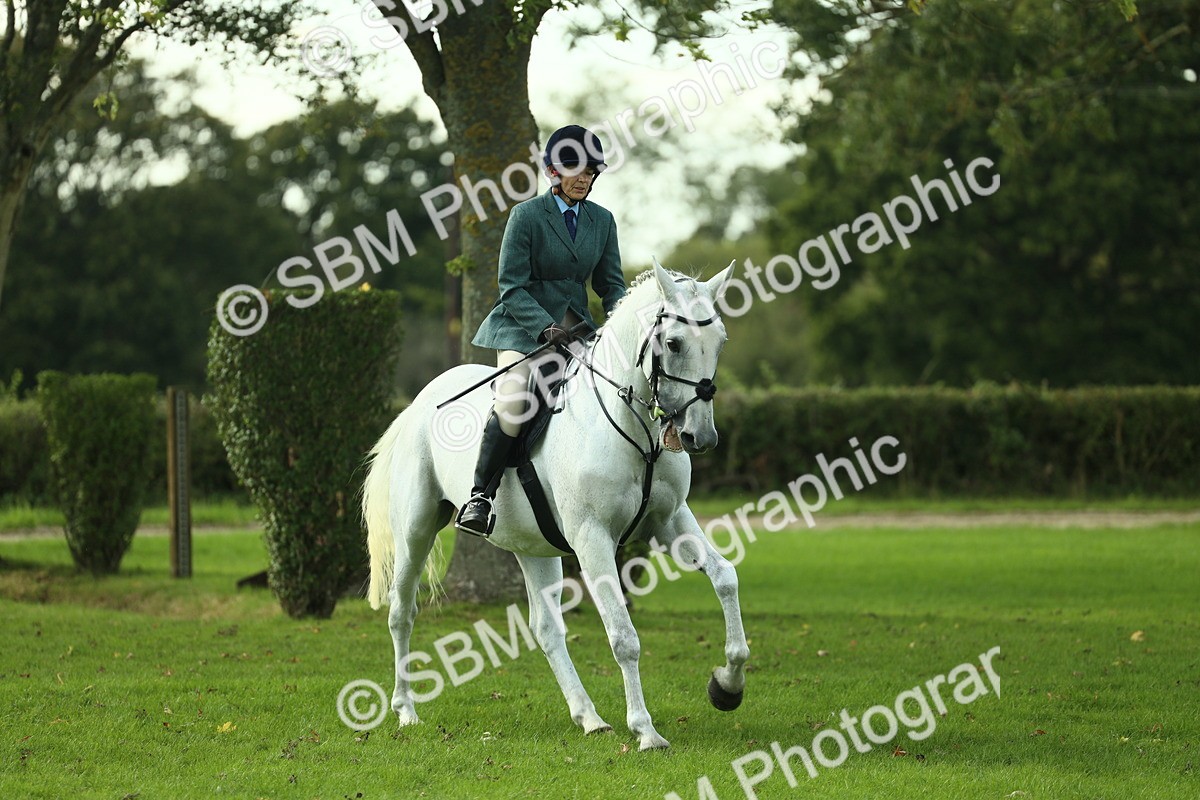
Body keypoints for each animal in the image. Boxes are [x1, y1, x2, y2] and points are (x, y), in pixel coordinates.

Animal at [361, 259, 749, 751]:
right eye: (675, 343)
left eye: (720, 340)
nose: (702, 437)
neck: (634, 430)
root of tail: (418, 402)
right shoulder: (592, 538)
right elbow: (623, 636)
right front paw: (645, 731)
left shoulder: (671, 519)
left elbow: (725, 578)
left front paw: (727, 686)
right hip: (416, 530)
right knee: (402, 612)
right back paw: (406, 711)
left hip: (534, 546)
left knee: (546, 629)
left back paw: (589, 717)